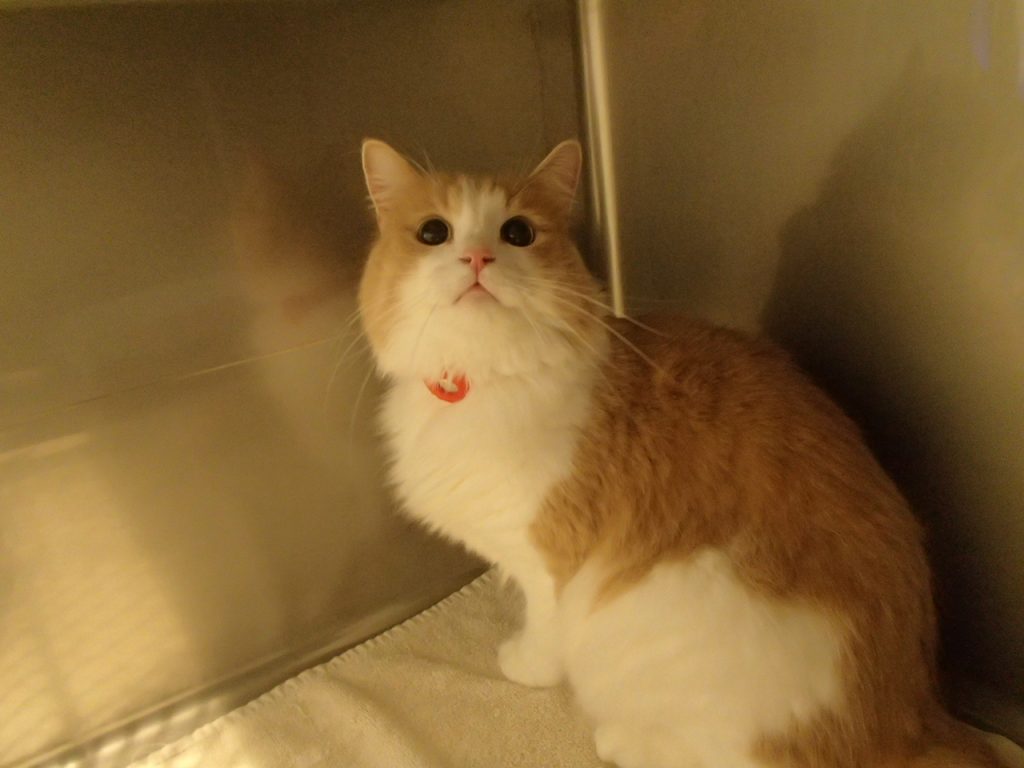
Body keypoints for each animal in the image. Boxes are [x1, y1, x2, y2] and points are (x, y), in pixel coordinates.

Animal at [356, 138, 1004, 768]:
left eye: (517, 233)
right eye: (434, 233)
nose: (477, 259)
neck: (483, 378)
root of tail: (911, 721)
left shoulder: (549, 567)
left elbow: (543, 635)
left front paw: (523, 665)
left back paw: (621, 740)